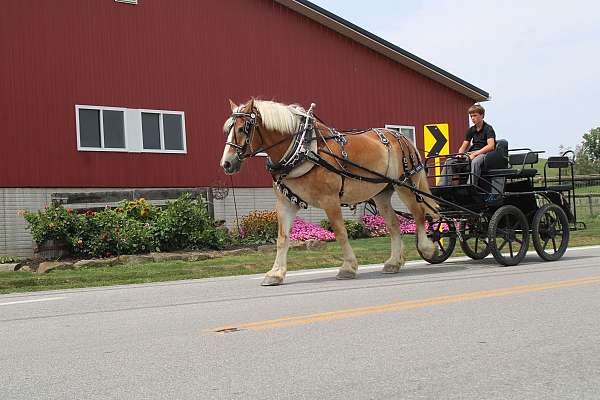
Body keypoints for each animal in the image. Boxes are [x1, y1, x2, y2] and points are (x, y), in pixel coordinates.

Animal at [220, 97, 436, 284]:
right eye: (228, 129)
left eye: (243, 128)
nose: (226, 163)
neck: (302, 149)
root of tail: (401, 136)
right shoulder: (285, 202)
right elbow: (282, 238)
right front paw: (276, 273)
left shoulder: (330, 200)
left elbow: (340, 232)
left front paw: (348, 267)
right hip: (381, 193)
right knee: (394, 225)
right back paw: (393, 262)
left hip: (405, 185)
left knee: (419, 214)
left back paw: (427, 249)